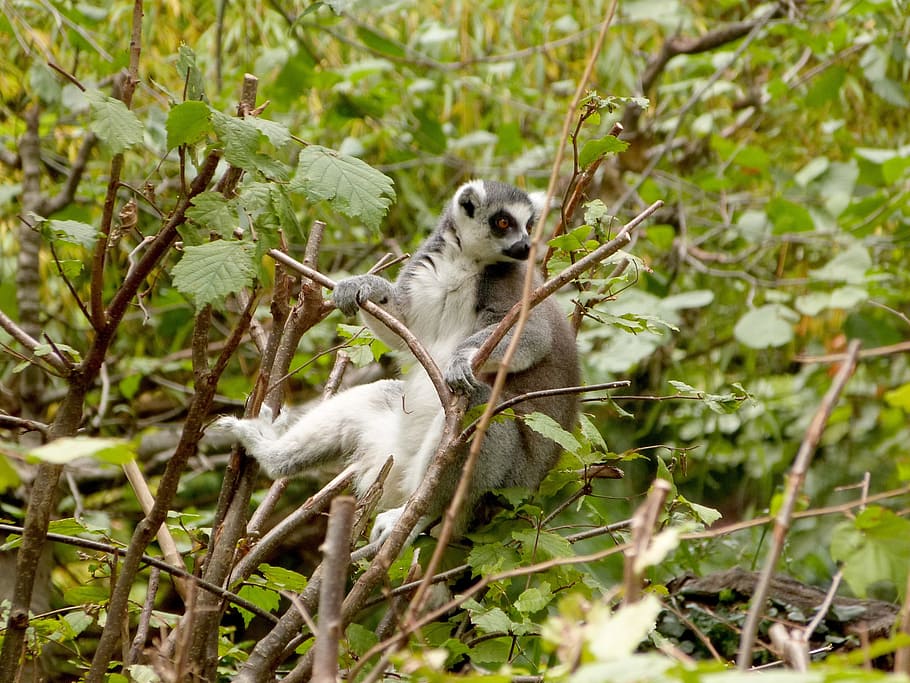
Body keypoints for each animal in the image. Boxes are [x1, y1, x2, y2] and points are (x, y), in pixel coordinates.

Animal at [214, 180, 580, 543]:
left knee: (477, 407)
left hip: (500, 489)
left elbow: (534, 336)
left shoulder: (514, 287)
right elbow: (404, 328)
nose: (526, 246)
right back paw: (270, 452)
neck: (466, 261)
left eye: (529, 225)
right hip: (392, 446)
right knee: (376, 395)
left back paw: (418, 515)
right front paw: (363, 285)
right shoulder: (426, 276)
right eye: (504, 222)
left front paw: (461, 358)